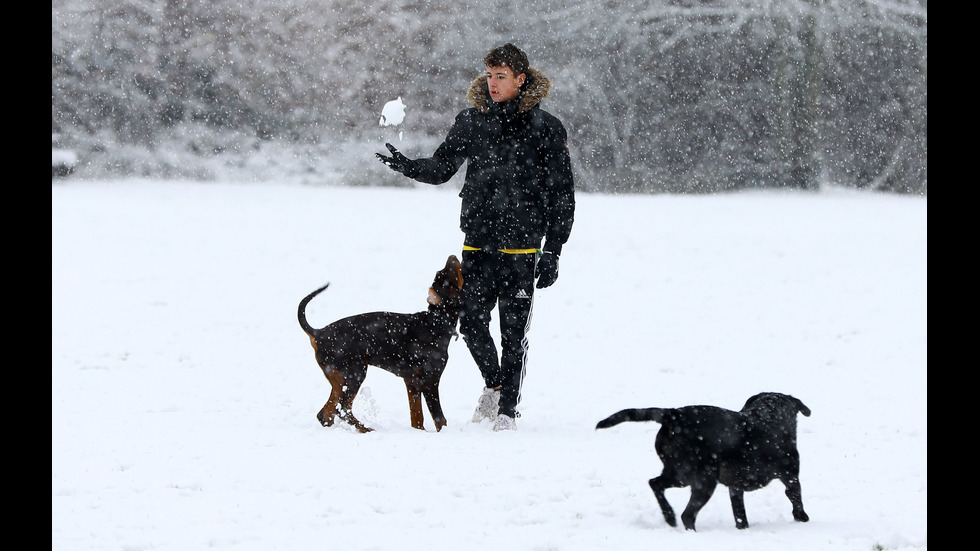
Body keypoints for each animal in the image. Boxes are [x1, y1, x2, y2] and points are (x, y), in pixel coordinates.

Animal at [298, 256, 464, 434]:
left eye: (439, 272)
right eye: (450, 279)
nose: (452, 256)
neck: (435, 322)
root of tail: (318, 333)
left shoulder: (412, 382)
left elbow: (417, 417)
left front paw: (419, 433)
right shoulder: (430, 381)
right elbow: (439, 418)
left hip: (339, 380)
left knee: (326, 413)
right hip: (354, 374)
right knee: (342, 408)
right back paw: (366, 429)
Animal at [596, 392, 812, 532]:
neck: (769, 416)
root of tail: (673, 415)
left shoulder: (735, 488)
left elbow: (739, 513)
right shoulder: (791, 477)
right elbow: (797, 500)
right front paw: (803, 519)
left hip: (680, 473)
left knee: (655, 484)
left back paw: (669, 516)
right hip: (701, 479)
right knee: (687, 514)